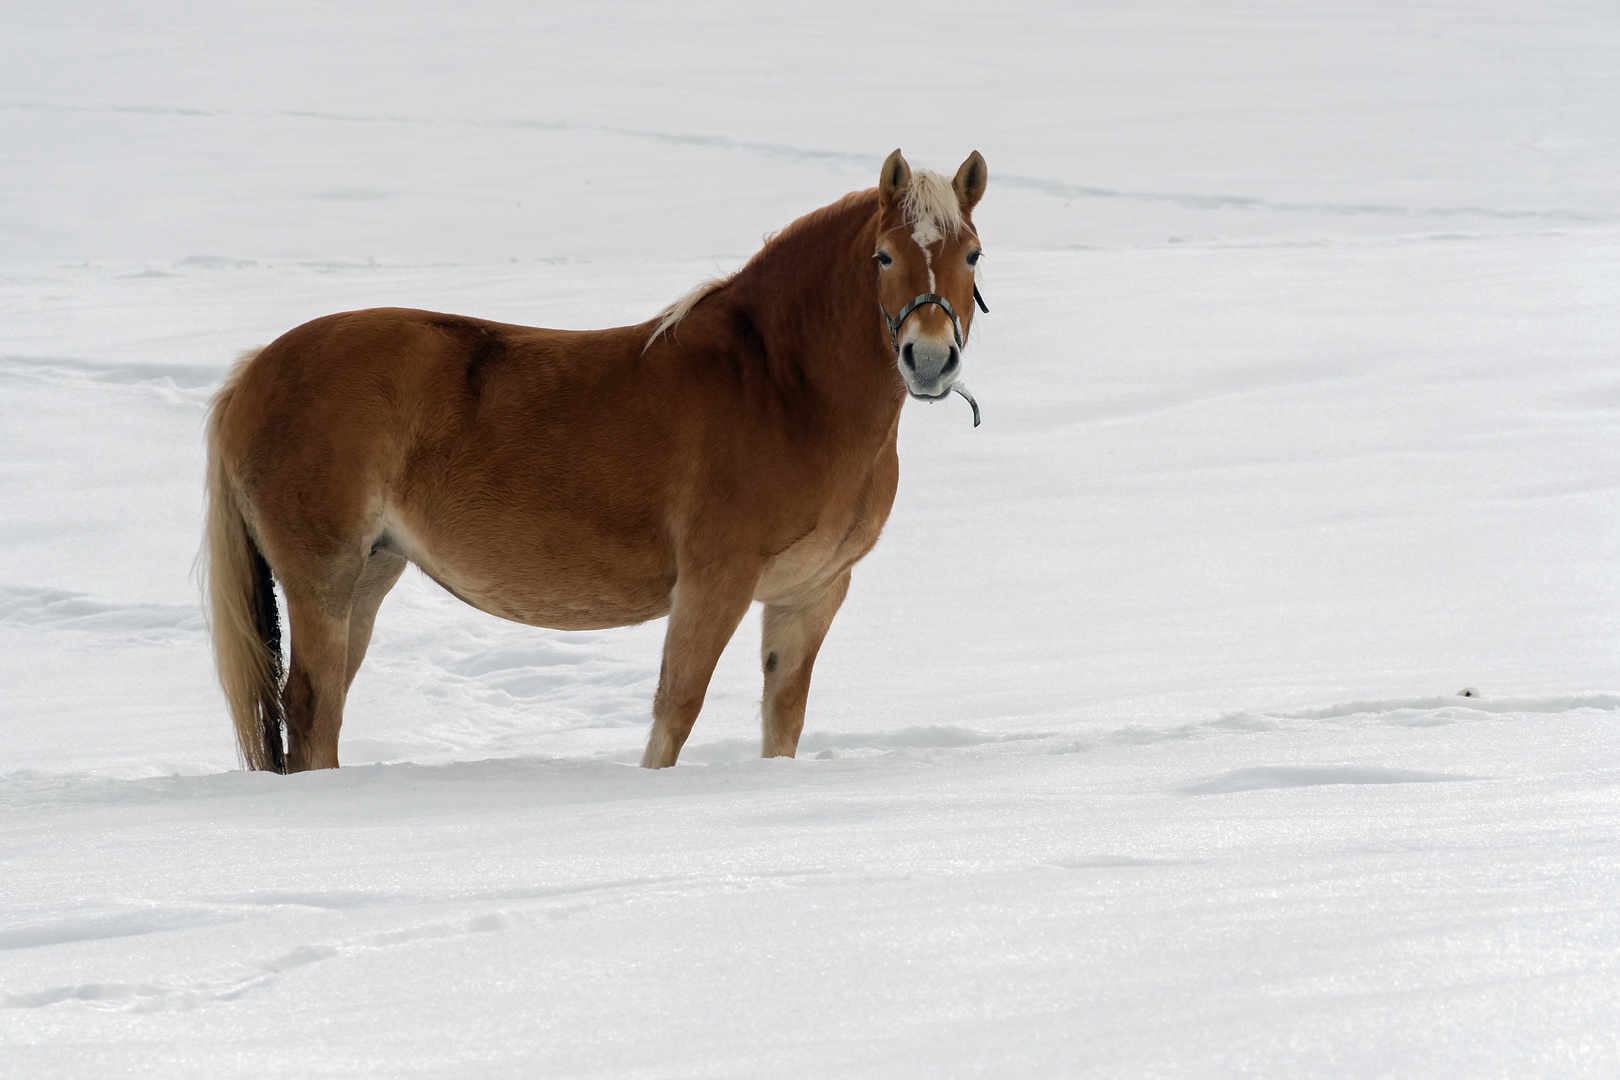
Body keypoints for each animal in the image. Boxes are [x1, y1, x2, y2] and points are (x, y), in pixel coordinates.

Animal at [202, 148, 984, 773]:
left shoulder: (811, 593)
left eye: (972, 255)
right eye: (884, 255)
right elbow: (677, 708)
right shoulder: (715, 583)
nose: (930, 360)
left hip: (370, 574)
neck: (780, 387)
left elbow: (781, 718)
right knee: (310, 705)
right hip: (324, 578)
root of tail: (257, 369)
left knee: (323, 709)